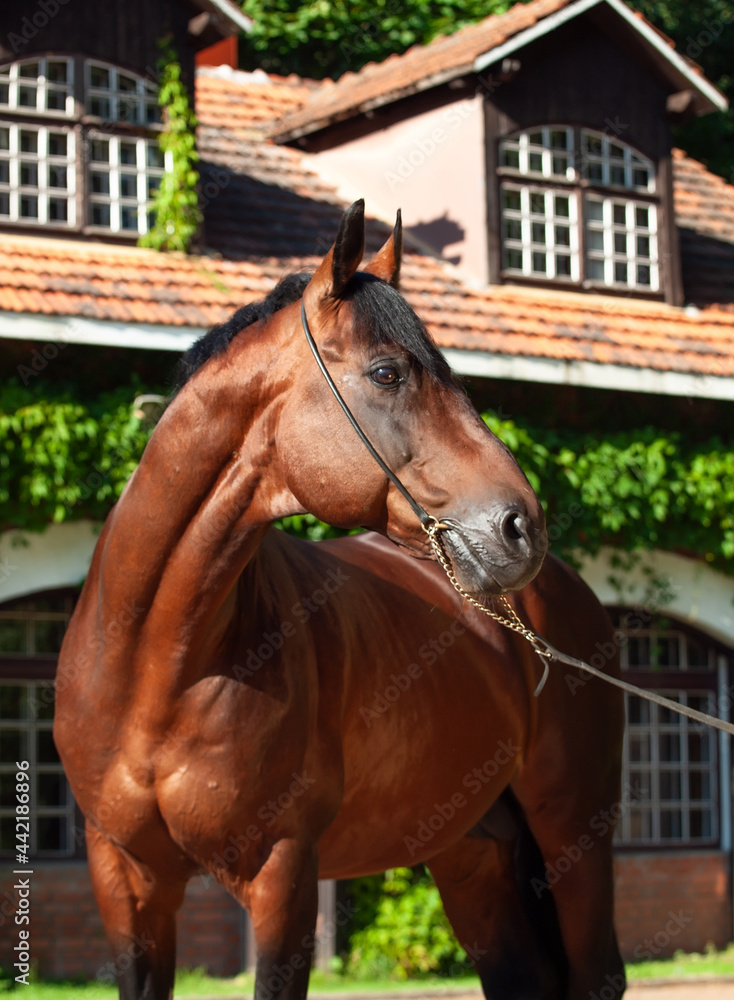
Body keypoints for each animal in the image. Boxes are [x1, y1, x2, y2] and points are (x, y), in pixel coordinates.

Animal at [54, 200, 625, 1000]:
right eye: (388, 372)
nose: (521, 527)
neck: (155, 659)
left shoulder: (284, 873)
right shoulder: (126, 882)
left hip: (576, 833)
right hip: (472, 853)